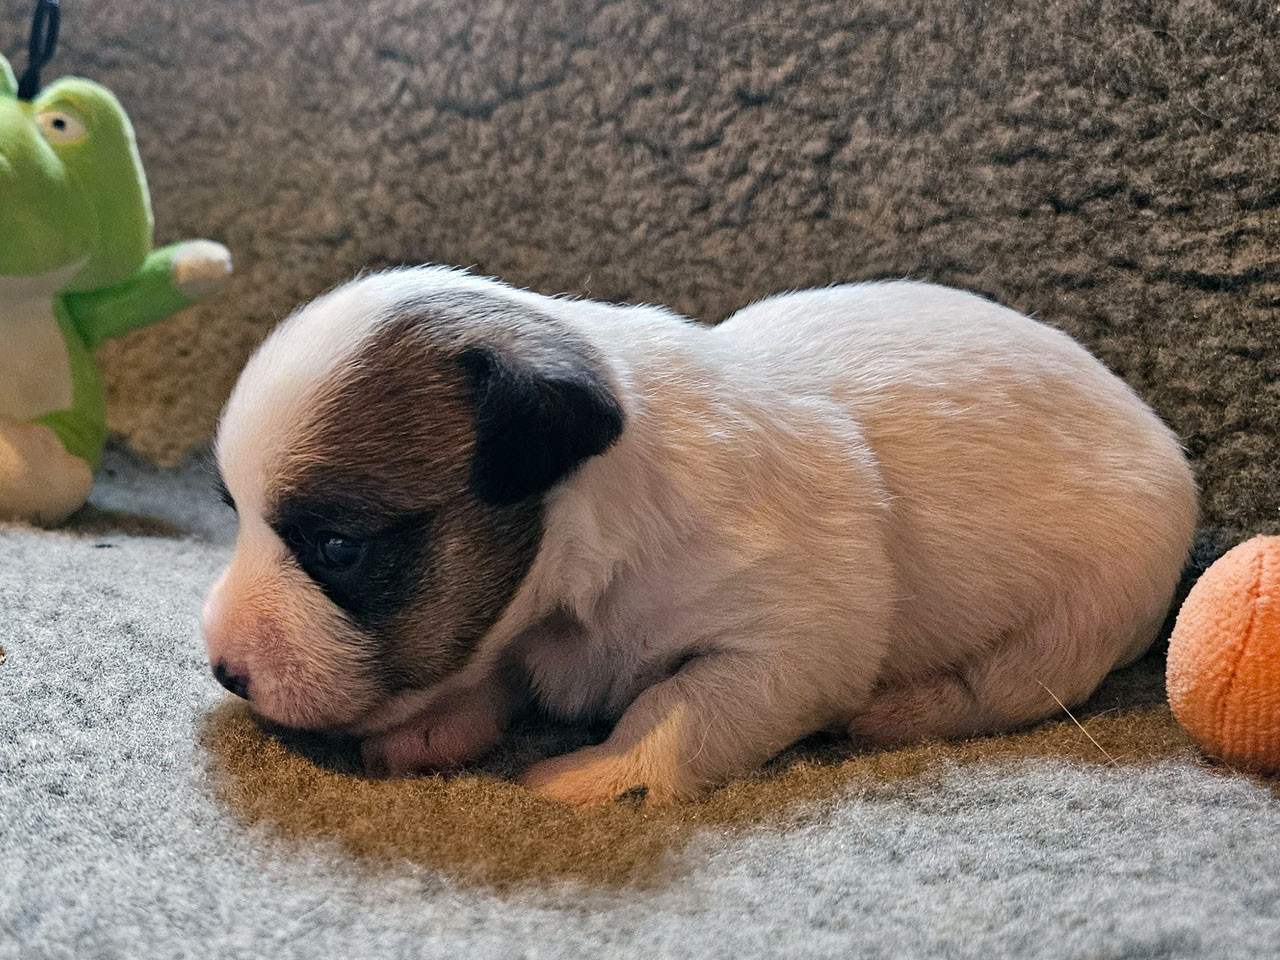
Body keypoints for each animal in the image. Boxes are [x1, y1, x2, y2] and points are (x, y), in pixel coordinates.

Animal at [202, 267, 1197, 805]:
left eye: (338, 550)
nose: (223, 670)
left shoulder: (788, 642)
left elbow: (678, 708)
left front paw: (598, 770)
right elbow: (493, 667)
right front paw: (440, 723)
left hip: (1081, 615)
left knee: (1005, 691)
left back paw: (901, 712)